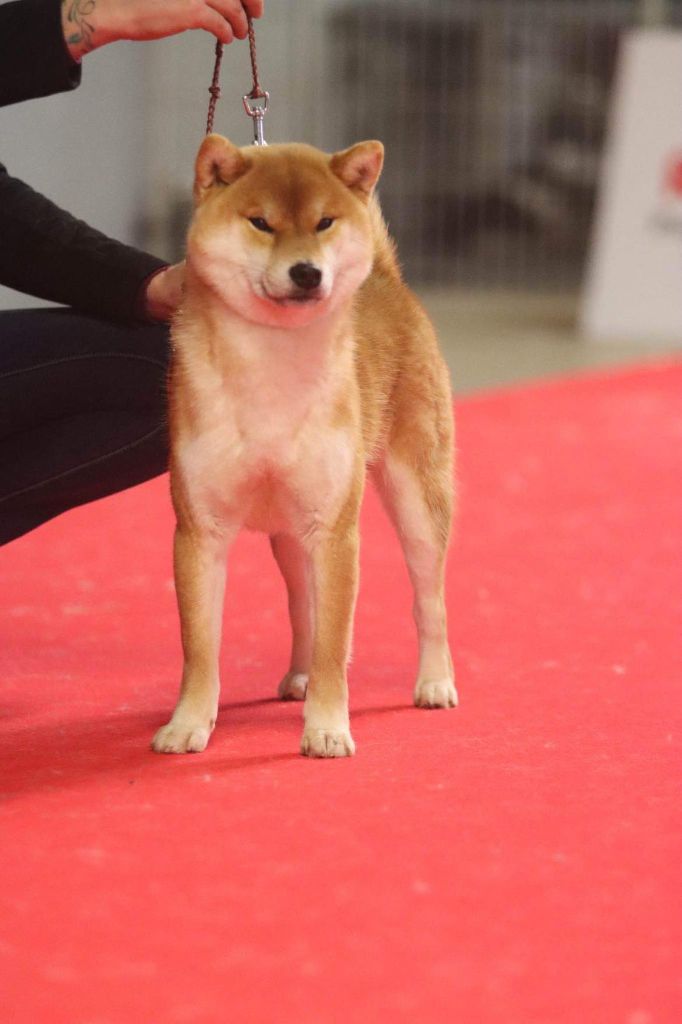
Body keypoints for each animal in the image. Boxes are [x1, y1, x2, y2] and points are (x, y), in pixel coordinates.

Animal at [151, 134, 454, 761]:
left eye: (324, 223)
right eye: (261, 223)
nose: (307, 272)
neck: (273, 364)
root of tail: (387, 280)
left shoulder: (335, 531)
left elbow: (337, 642)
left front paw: (328, 728)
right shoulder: (199, 531)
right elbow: (200, 646)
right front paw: (188, 724)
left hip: (417, 500)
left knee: (427, 597)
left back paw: (435, 681)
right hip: (291, 537)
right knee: (302, 608)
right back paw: (299, 675)